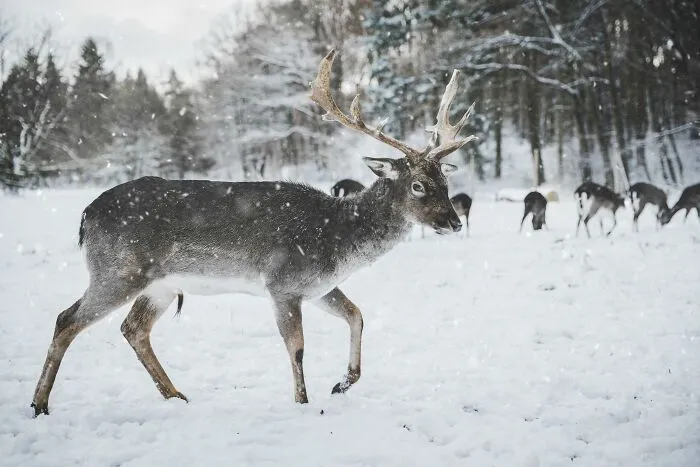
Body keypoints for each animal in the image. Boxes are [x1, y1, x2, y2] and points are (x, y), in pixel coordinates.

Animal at [30, 49, 476, 417]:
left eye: (445, 180)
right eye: (417, 185)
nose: (454, 222)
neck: (337, 240)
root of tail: (86, 216)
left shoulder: (318, 286)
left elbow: (357, 315)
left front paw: (342, 383)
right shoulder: (282, 283)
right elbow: (297, 348)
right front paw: (303, 403)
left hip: (159, 285)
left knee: (133, 328)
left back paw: (177, 396)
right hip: (119, 270)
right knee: (66, 319)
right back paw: (40, 404)